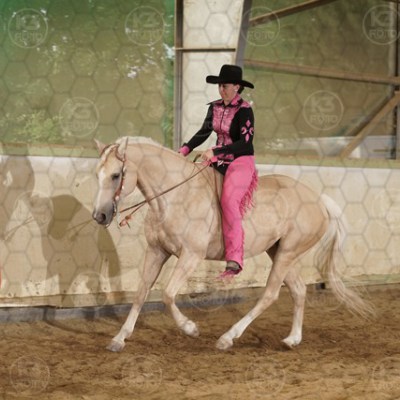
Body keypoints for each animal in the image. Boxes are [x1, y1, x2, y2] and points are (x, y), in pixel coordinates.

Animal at [92, 136, 373, 352]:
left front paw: (190, 328)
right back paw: (292, 339)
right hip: (280, 252)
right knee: (299, 290)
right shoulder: (156, 252)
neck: (175, 197)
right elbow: (141, 293)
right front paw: (119, 339)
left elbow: (168, 294)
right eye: (98, 174)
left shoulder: (190, 256)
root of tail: (319, 199)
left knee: (270, 294)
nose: (99, 216)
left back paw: (227, 338)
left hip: (287, 253)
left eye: (116, 175)